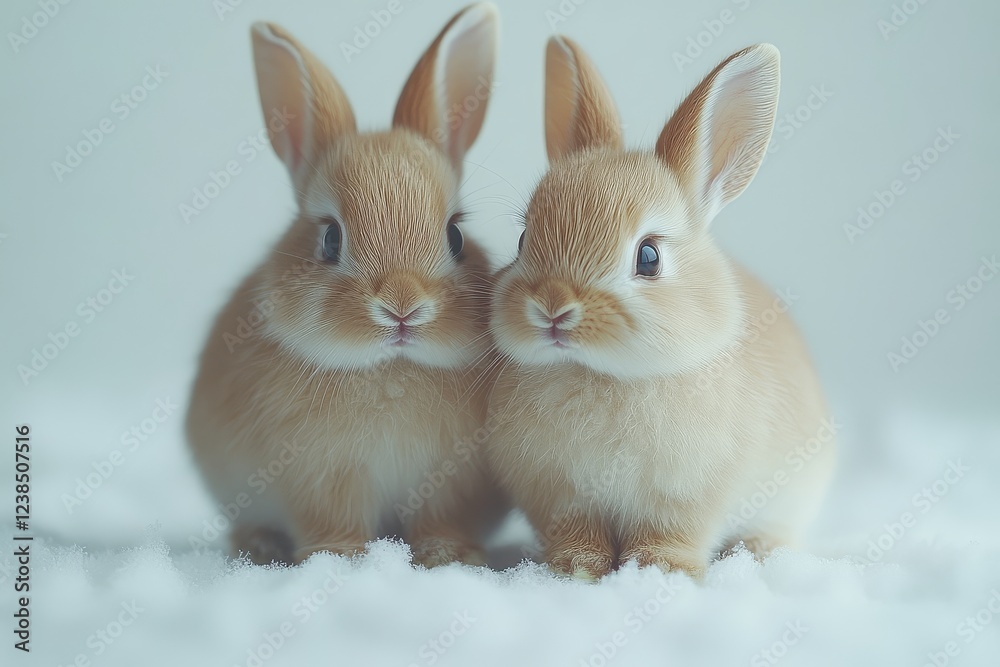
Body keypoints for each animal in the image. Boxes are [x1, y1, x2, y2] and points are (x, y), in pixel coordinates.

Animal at [185, 4, 505, 568]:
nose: (402, 307)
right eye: (330, 238)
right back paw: (260, 545)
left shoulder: (450, 483)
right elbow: (334, 522)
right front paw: (340, 558)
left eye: (456, 235)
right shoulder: (323, 478)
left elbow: (442, 520)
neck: (390, 368)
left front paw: (451, 556)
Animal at [485, 37, 836, 580]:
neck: (603, 374)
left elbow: (671, 533)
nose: (553, 309)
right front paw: (576, 568)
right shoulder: (560, 495)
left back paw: (761, 552)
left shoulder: (690, 495)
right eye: (524, 241)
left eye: (648, 257)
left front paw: (659, 570)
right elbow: (577, 531)